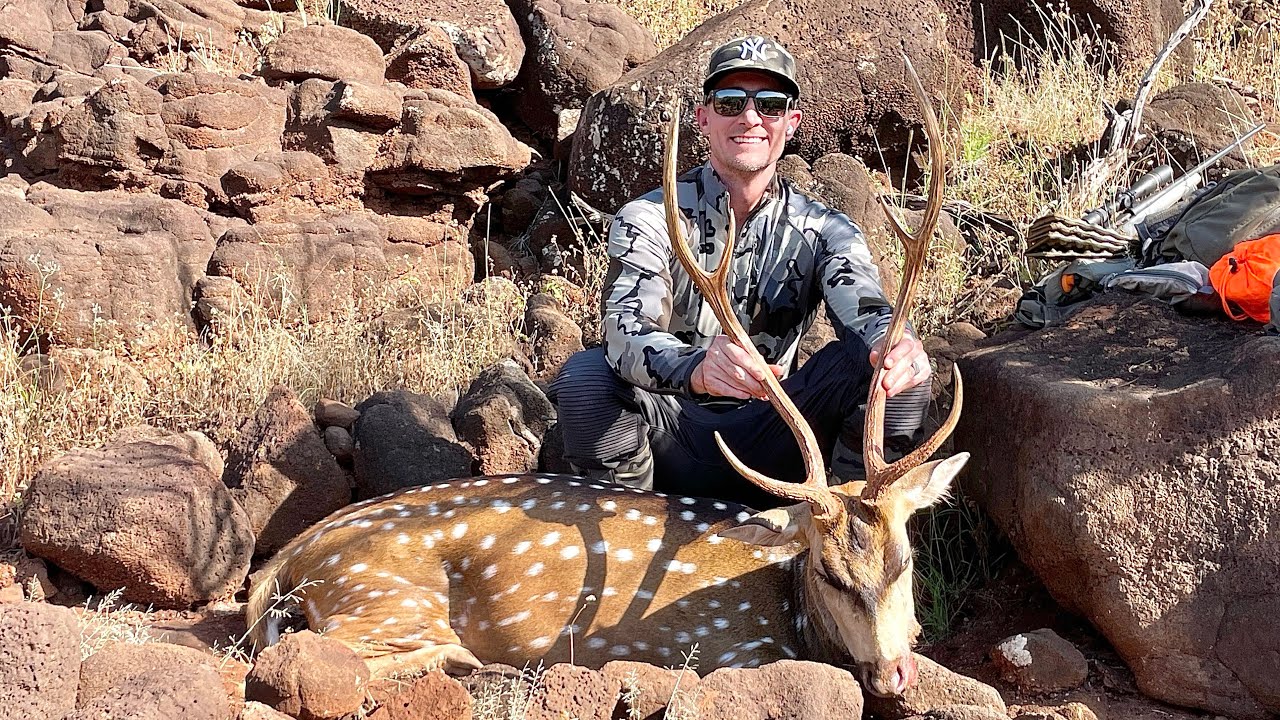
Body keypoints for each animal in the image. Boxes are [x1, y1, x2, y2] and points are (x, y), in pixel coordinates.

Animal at [246, 58, 966, 698]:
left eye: (904, 561)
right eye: (829, 570)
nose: (894, 673)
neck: (790, 608)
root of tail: (282, 562)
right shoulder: (724, 646)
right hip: (381, 597)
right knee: (317, 657)